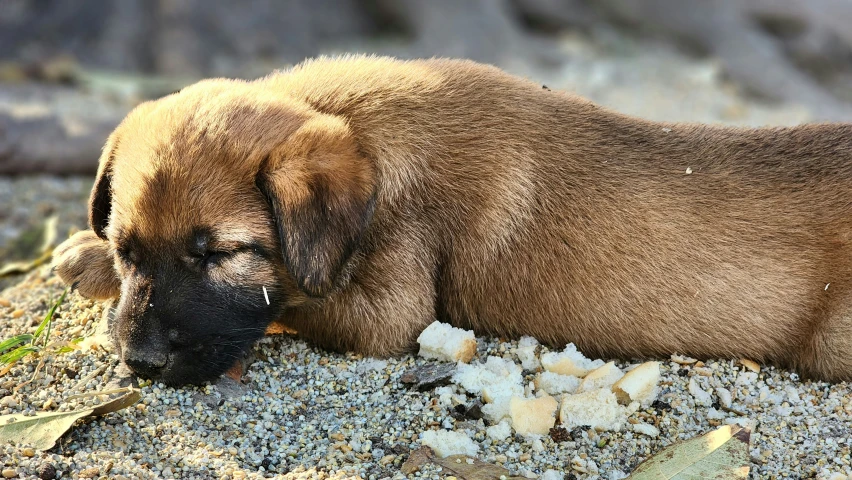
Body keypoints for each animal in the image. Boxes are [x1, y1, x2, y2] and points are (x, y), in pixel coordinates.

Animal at [51, 55, 852, 386]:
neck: (364, 141)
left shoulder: (388, 311)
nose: (140, 364)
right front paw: (82, 253)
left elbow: (292, 300)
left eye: (219, 255)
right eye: (129, 252)